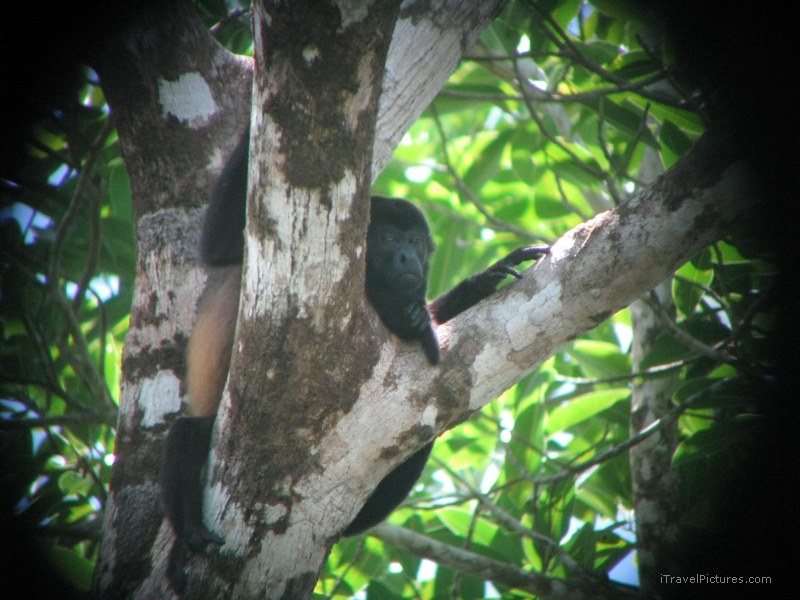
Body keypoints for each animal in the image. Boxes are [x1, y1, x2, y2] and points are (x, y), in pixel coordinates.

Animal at [161, 133, 548, 592]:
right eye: (388, 239)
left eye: (414, 241)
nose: (408, 259)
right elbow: (218, 245)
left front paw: (479, 283)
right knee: (185, 437)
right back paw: (188, 536)